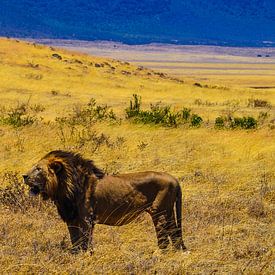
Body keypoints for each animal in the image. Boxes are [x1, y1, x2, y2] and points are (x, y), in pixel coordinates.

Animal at [23, 151, 188, 254]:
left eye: (38, 169)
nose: (24, 176)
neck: (64, 189)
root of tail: (174, 179)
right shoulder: (71, 219)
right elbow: (74, 240)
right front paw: (75, 255)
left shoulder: (86, 218)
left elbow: (84, 240)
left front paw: (86, 255)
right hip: (168, 211)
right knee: (174, 232)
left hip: (159, 211)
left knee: (164, 235)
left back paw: (158, 254)